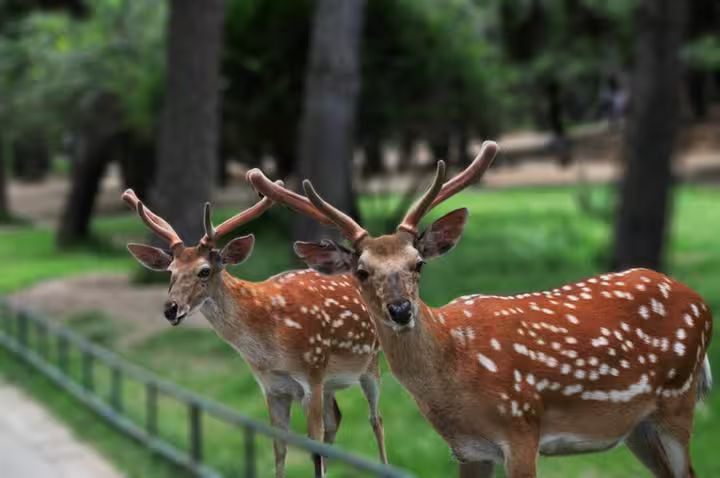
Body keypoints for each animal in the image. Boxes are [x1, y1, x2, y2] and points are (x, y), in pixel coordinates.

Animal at [120, 188, 388, 478]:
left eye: (204, 270)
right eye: (170, 272)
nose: (171, 309)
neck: (269, 348)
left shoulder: (312, 374)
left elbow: (313, 447)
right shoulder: (272, 387)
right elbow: (280, 449)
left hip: (370, 364)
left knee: (375, 419)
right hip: (330, 384)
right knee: (336, 418)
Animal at [247, 140, 713, 478]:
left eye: (417, 263)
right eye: (361, 271)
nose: (400, 310)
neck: (455, 371)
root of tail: (701, 302)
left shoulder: (522, 428)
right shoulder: (469, 449)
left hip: (678, 400)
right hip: (638, 425)